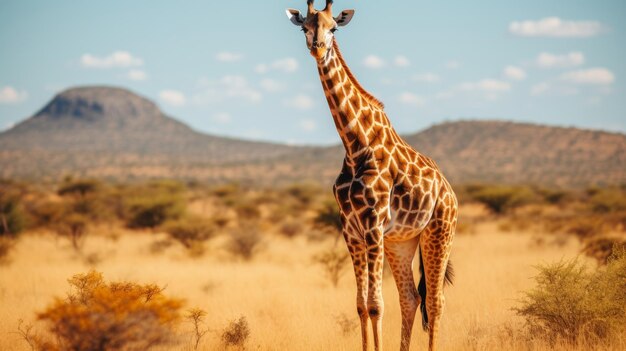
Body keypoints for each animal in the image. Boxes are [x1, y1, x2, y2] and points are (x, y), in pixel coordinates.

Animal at [286, 0, 456, 351]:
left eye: (333, 28)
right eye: (305, 27)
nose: (317, 48)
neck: (355, 145)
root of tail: (450, 192)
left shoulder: (373, 223)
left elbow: (377, 305)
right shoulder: (350, 228)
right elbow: (361, 305)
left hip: (439, 232)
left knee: (435, 301)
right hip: (402, 241)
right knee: (410, 298)